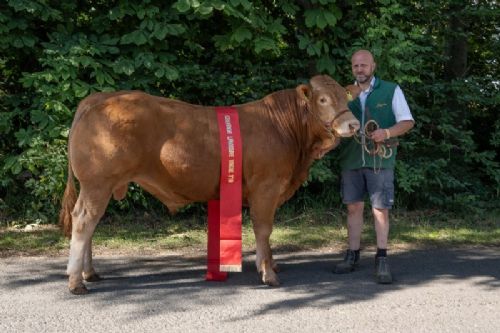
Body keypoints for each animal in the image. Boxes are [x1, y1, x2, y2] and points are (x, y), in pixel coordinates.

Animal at [59, 75, 360, 294]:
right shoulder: (266, 187)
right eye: (323, 99)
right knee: (84, 221)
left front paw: (271, 265)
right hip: (97, 183)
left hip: (101, 186)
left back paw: (89, 273)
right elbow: (264, 229)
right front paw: (268, 274)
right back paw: (76, 282)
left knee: (91, 223)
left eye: (345, 97)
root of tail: (100, 98)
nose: (354, 124)